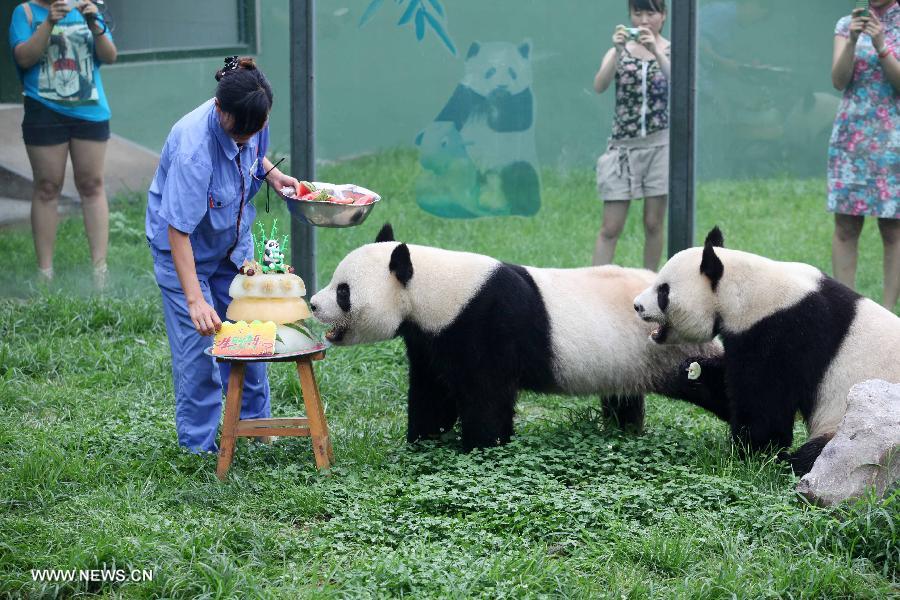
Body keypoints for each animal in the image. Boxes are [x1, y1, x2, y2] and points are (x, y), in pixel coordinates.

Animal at [632, 227, 900, 476]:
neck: (745, 287)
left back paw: (790, 464)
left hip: (859, 430)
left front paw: (748, 452)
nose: (637, 305)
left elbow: (765, 407)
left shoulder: (783, 333)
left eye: (663, 291)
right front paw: (692, 372)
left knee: (827, 456)